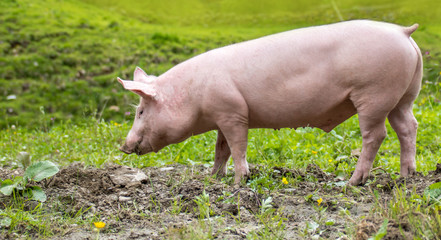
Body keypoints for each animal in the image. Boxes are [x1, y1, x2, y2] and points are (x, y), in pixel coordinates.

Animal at [118, 20, 422, 186]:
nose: (123, 146)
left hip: (374, 94)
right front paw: (213, 178)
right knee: (408, 127)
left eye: (141, 111)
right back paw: (406, 176)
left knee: (376, 135)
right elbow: (221, 149)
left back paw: (353, 181)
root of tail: (403, 32)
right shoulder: (222, 116)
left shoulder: (233, 112)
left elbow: (237, 147)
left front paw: (239, 181)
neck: (193, 93)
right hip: (403, 97)